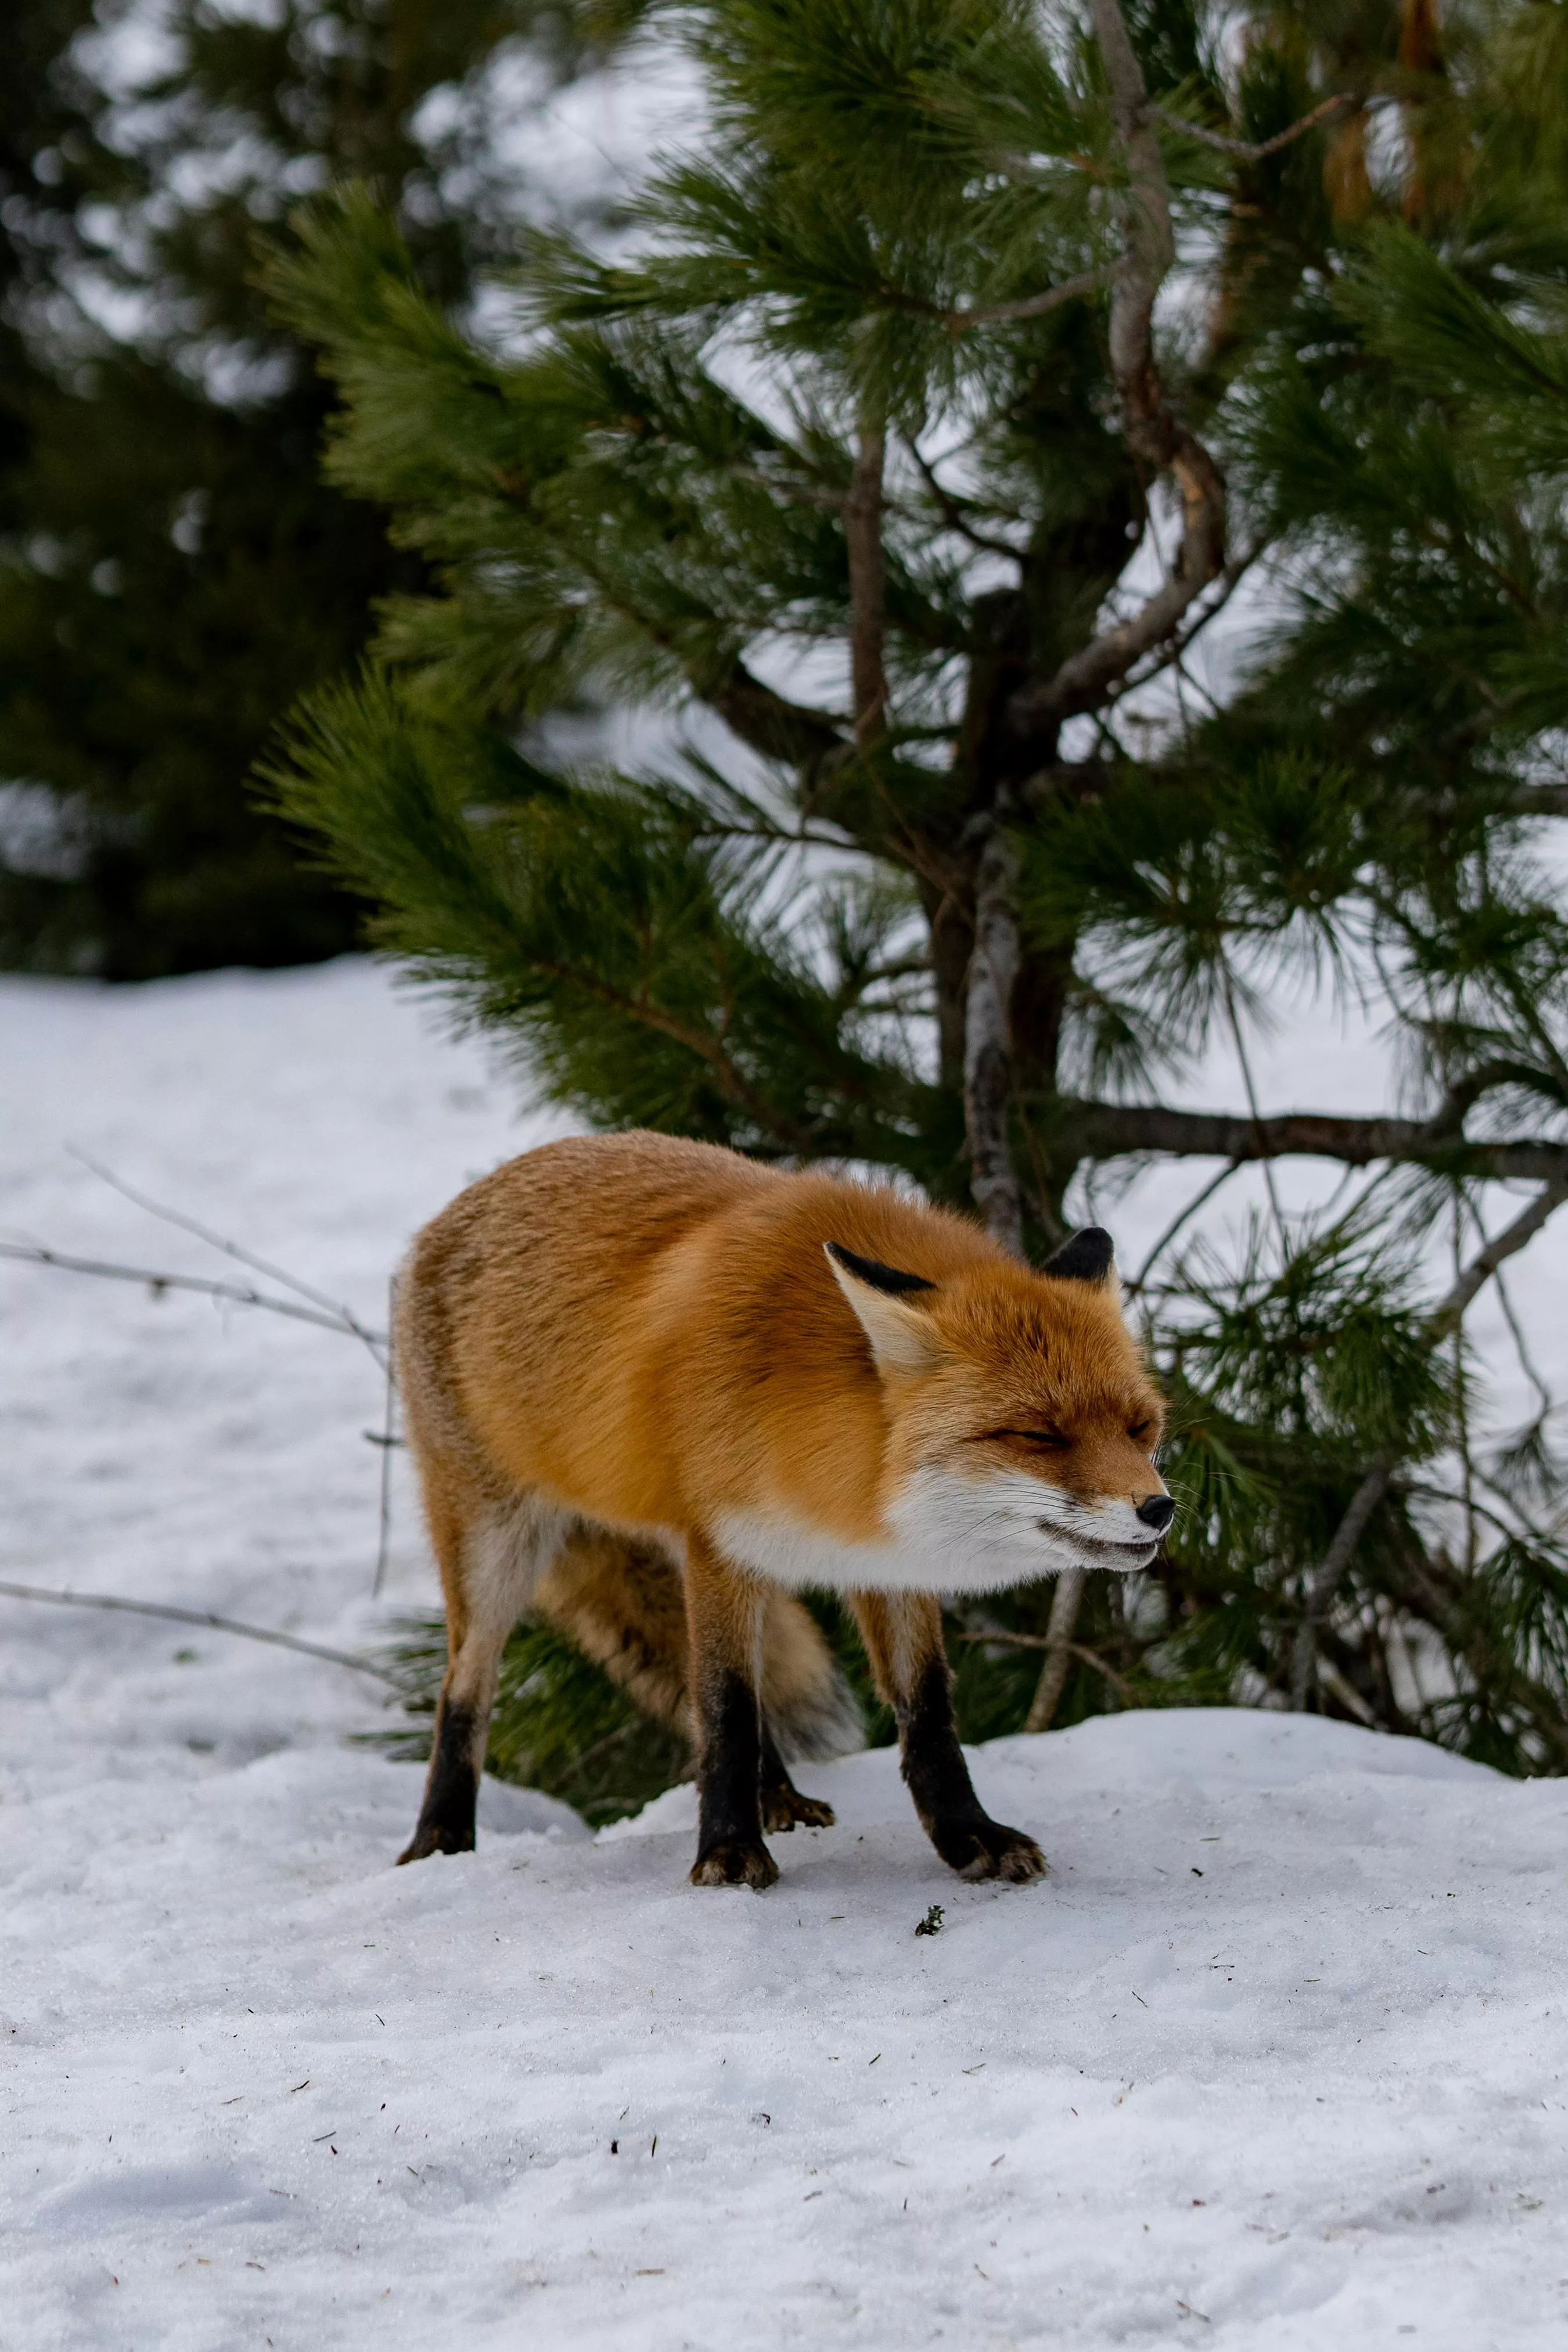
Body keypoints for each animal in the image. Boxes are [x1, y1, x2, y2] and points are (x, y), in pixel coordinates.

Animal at [394, 1130, 1171, 1889]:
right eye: (1040, 1436)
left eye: (1140, 1428)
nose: (1159, 1509)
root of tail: (450, 1214)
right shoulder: (720, 1544)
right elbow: (728, 1710)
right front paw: (729, 1853)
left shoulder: (887, 1566)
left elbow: (926, 1715)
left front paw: (967, 1838)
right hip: (494, 1550)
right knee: (463, 1693)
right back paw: (439, 1843)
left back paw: (781, 1798)